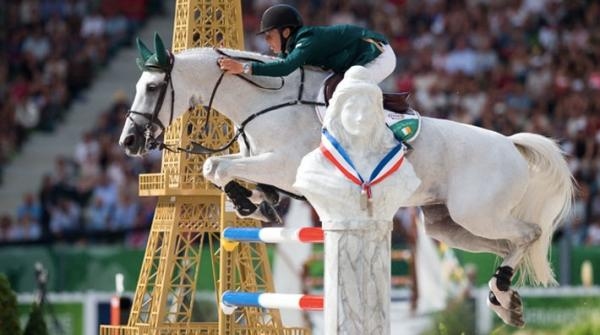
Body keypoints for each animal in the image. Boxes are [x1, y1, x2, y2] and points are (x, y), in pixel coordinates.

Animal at [119, 34, 576, 328]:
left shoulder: (285, 165)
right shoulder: (258, 160)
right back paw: (505, 300)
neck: (266, 100)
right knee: (506, 245)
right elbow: (220, 169)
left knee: (529, 234)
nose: (129, 142)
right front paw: (256, 203)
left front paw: (251, 203)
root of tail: (511, 144)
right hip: (447, 224)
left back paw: (504, 293)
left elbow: (217, 169)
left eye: (154, 86)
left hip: (476, 213)